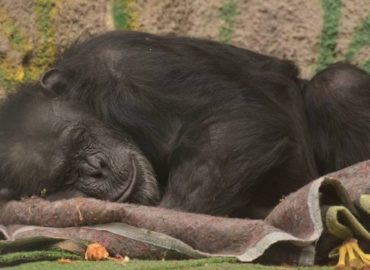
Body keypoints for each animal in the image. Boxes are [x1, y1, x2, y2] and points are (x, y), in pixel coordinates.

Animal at [0, 30, 364, 218]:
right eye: (66, 173)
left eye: (81, 136)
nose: (97, 168)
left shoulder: (126, 62)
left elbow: (231, 113)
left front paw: (169, 215)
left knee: (338, 85)